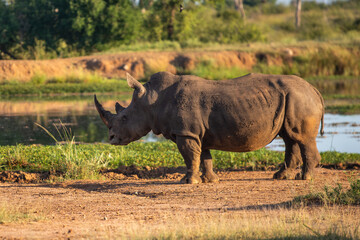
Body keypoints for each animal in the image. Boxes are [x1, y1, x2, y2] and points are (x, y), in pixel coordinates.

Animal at [94, 71, 324, 184]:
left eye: (124, 117)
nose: (111, 138)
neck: (152, 101)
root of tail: (314, 89)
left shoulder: (186, 132)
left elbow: (190, 156)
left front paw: (188, 182)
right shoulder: (195, 132)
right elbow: (204, 156)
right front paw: (209, 180)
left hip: (299, 98)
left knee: (301, 138)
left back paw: (305, 178)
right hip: (291, 98)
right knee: (290, 137)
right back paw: (281, 177)